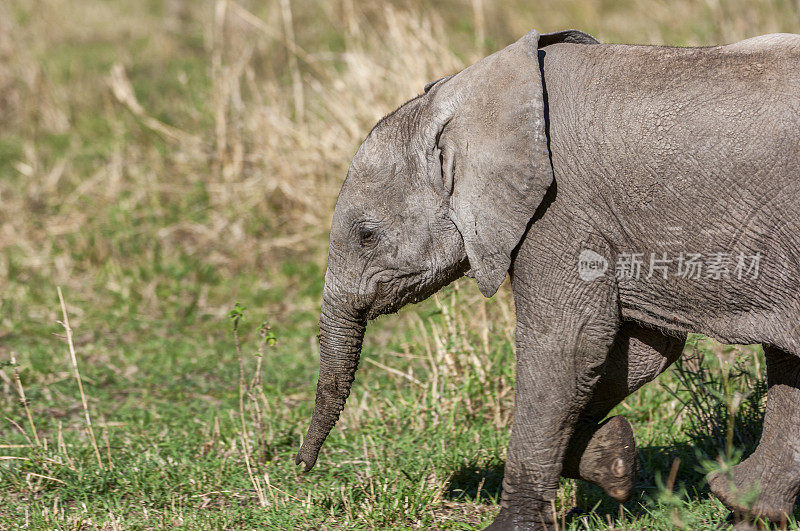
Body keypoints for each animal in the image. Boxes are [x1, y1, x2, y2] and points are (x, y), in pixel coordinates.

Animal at [296, 30, 800, 531]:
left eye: (366, 235)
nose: (301, 468)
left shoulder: (558, 210)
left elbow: (567, 344)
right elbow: (637, 353)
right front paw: (615, 459)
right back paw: (747, 507)